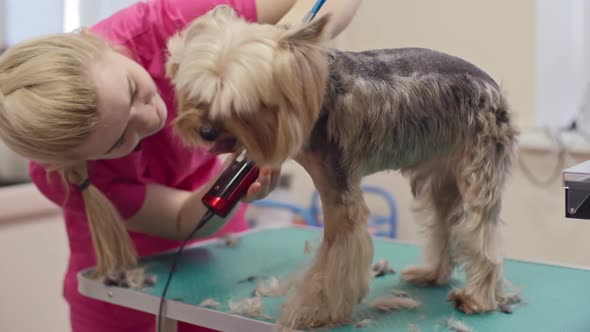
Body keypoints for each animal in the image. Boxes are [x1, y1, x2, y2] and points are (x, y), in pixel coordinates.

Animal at [165, 5, 520, 330]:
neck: (312, 94)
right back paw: (432, 274)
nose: (205, 131)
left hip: (479, 163)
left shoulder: (338, 186)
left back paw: (476, 298)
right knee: (444, 222)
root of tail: (494, 87)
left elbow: (335, 257)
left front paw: (313, 312)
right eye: (196, 92)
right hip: (440, 173)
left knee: (480, 230)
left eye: (240, 105)